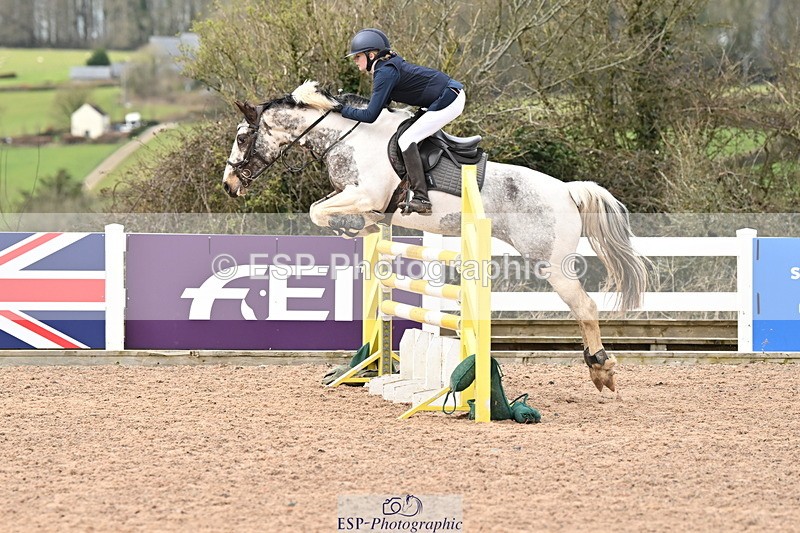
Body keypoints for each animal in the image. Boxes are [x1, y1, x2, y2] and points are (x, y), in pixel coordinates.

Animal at [223, 80, 650, 393]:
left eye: (243, 138)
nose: (228, 185)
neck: (347, 138)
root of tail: (568, 190)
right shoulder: (358, 198)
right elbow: (334, 213)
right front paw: (359, 228)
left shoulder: (366, 194)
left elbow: (317, 210)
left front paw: (349, 226)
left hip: (553, 264)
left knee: (585, 308)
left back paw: (601, 368)